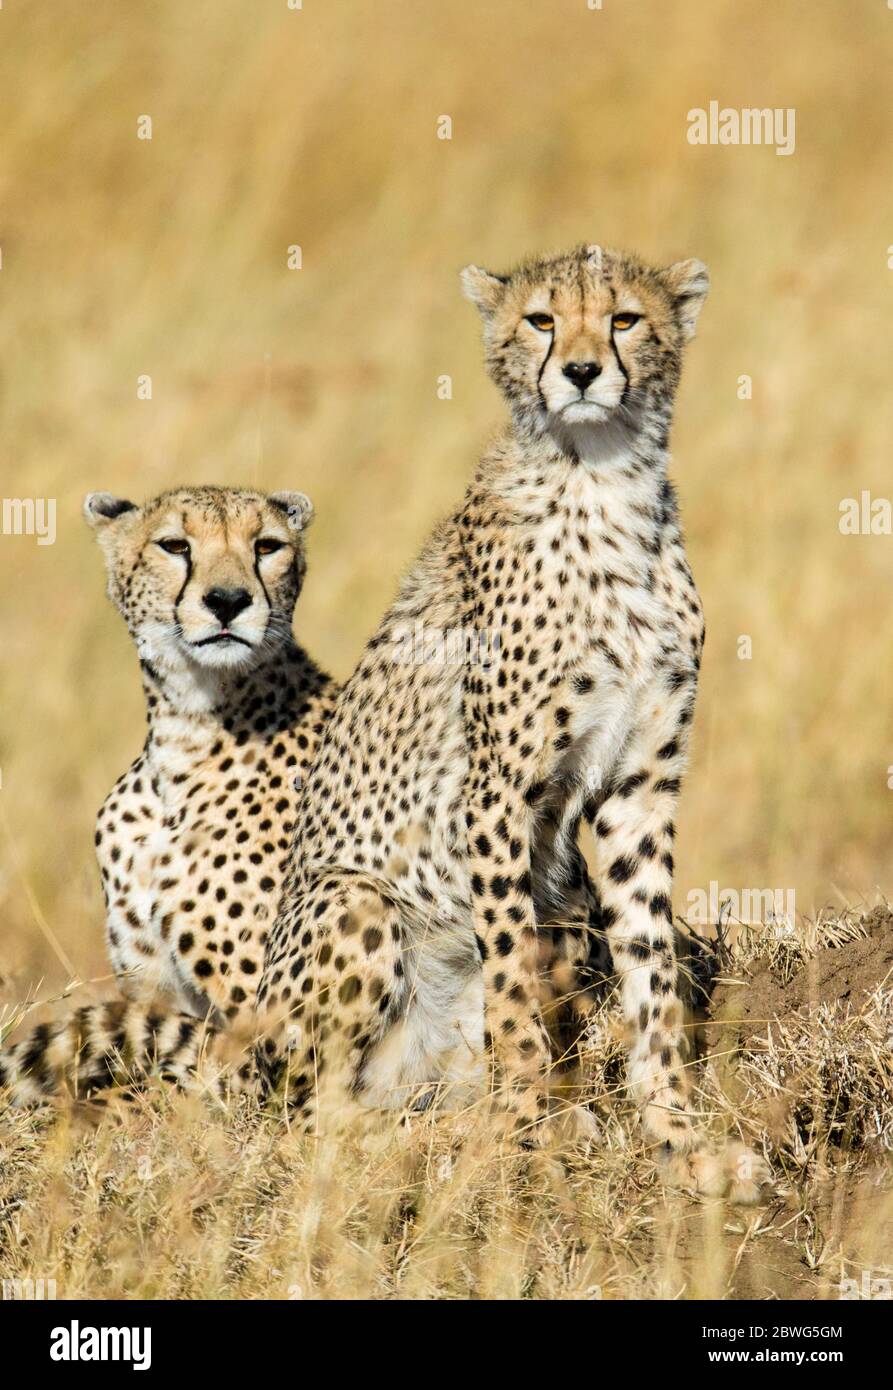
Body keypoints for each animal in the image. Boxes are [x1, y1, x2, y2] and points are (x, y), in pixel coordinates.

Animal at [257, 239, 767, 1195]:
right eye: (540, 319)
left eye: (623, 319)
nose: (581, 370)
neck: (601, 478)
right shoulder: (495, 794)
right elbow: (512, 978)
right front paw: (527, 1123)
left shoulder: (638, 788)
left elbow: (649, 968)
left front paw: (677, 1133)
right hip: (353, 903)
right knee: (315, 1122)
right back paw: (444, 1135)